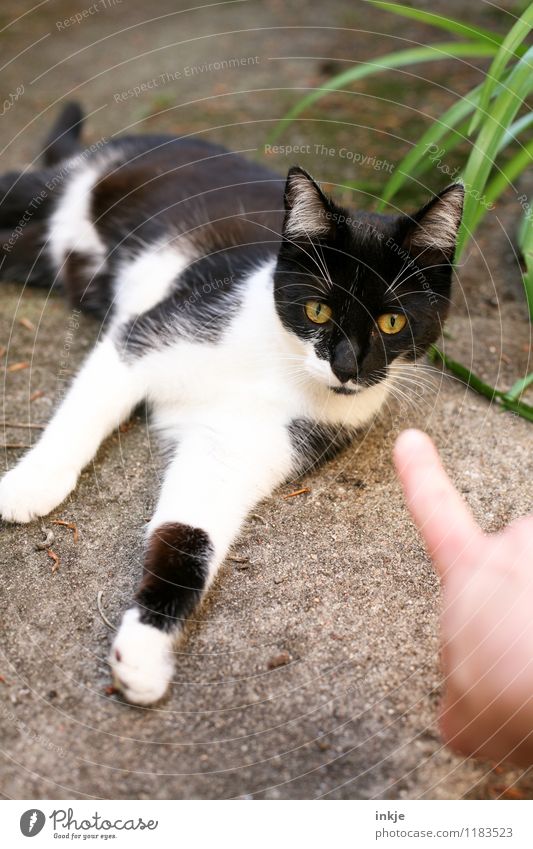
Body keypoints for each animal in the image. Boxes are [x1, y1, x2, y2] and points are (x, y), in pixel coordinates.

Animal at [0, 102, 462, 704]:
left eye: (392, 322)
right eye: (316, 310)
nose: (347, 366)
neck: (279, 366)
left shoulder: (243, 447)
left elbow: (190, 536)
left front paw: (145, 650)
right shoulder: (147, 336)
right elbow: (82, 414)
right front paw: (30, 484)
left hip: (40, 252)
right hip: (69, 185)